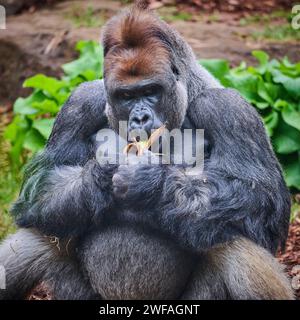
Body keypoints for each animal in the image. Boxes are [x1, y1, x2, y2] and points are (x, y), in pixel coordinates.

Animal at [0, 0, 294, 300]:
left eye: (151, 90)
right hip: (78, 294)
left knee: (231, 237)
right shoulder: (80, 102)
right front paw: (99, 177)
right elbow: (42, 184)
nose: (140, 118)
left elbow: (260, 200)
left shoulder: (228, 108)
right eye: (126, 96)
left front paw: (150, 182)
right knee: (40, 232)